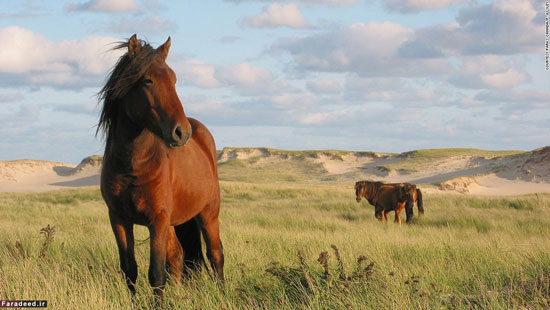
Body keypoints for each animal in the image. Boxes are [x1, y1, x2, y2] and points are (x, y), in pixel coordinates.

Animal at [97, 35, 224, 300]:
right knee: (177, 256)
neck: (132, 166)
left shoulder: (158, 220)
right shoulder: (119, 219)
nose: (181, 132)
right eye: (147, 80)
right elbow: (130, 270)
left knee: (216, 255)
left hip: (208, 215)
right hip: (174, 224)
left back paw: (223, 294)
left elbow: (156, 273)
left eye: (174, 79)